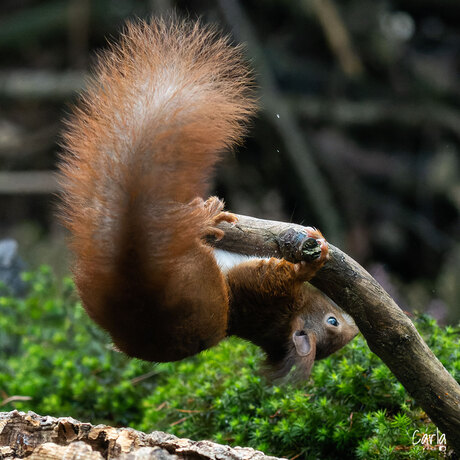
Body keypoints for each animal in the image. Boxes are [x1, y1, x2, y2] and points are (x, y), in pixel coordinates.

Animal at [58, 17, 360, 378]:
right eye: (333, 321)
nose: (356, 326)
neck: (282, 320)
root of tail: (135, 279)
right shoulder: (266, 290)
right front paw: (313, 261)